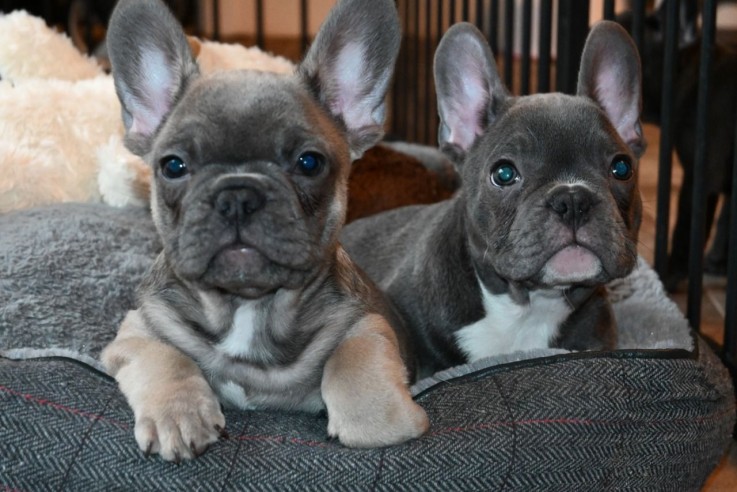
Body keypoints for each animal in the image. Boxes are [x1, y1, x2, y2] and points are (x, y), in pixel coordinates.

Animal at [100, 0, 428, 462]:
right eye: (173, 166)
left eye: (309, 162)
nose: (238, 194)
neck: (248, 307)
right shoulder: (137, 329)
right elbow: (165, 356)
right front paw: (177, 414)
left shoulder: (367, 319)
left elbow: (353, 357)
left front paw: (377, 416)